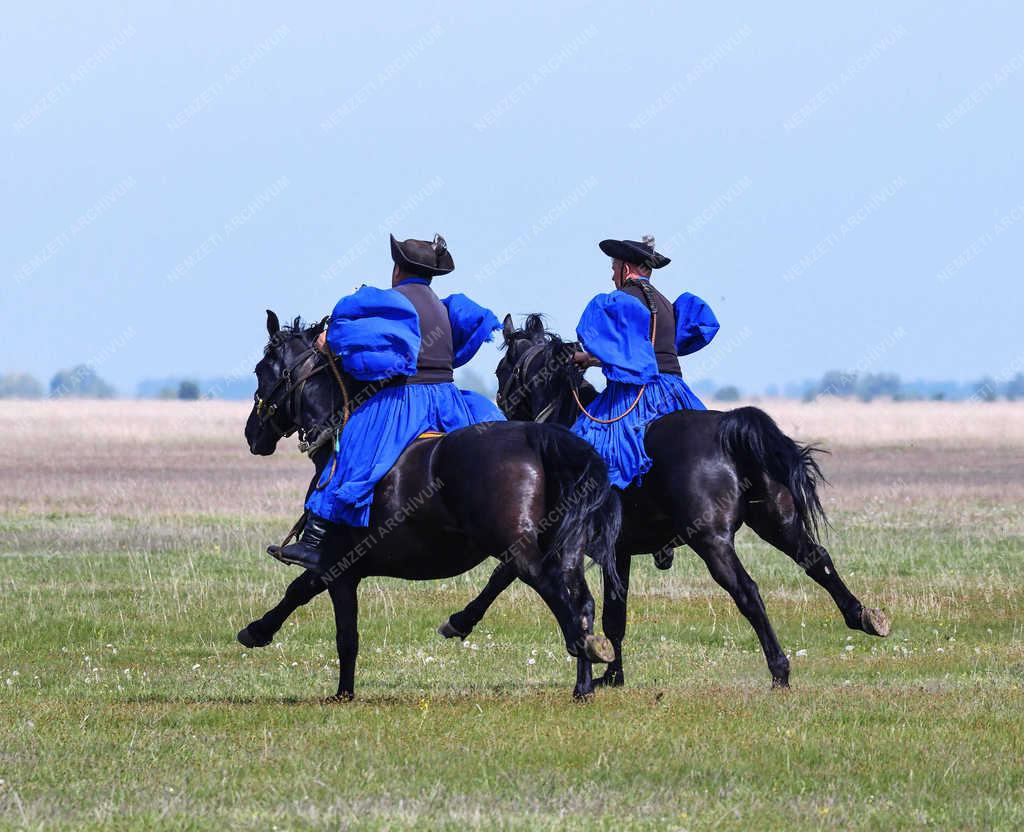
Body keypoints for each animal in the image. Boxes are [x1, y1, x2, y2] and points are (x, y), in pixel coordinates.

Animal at [238, 309, 618, 696]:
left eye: (261, 369)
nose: (252, 433)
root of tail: (535, 436)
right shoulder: (343, 567)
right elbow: (303, 594)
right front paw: (259, 631)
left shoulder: (336, 566)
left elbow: (336, 627)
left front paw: (341, 692)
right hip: (562, 549)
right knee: (583, 602)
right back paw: (584, 681)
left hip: (521, 552)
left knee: (558, 595)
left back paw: (586, 653)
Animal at [436, 315, 884, 684]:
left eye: (501, 369)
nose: (504, 412)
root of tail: (728, 428)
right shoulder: (617, 552)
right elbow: (616, 614)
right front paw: (612, 674)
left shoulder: (557, 538)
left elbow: (503, 575)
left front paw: (459, 621)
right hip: (778, 523)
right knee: (817, 560)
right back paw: (863, 616)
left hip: (712, 541)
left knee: (748, 591)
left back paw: (780, 670)